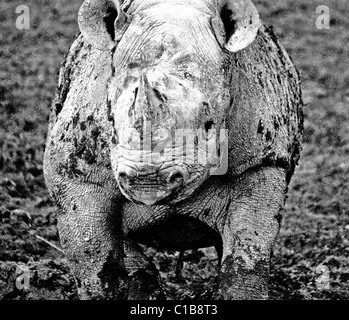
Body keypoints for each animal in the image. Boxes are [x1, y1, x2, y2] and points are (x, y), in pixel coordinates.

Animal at [44, 0, 302, 300]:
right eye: (110, 120)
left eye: (209, 125)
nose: (147, 181)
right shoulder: (75, 172)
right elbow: (94, 259)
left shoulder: (261, 161)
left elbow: (246, 253)